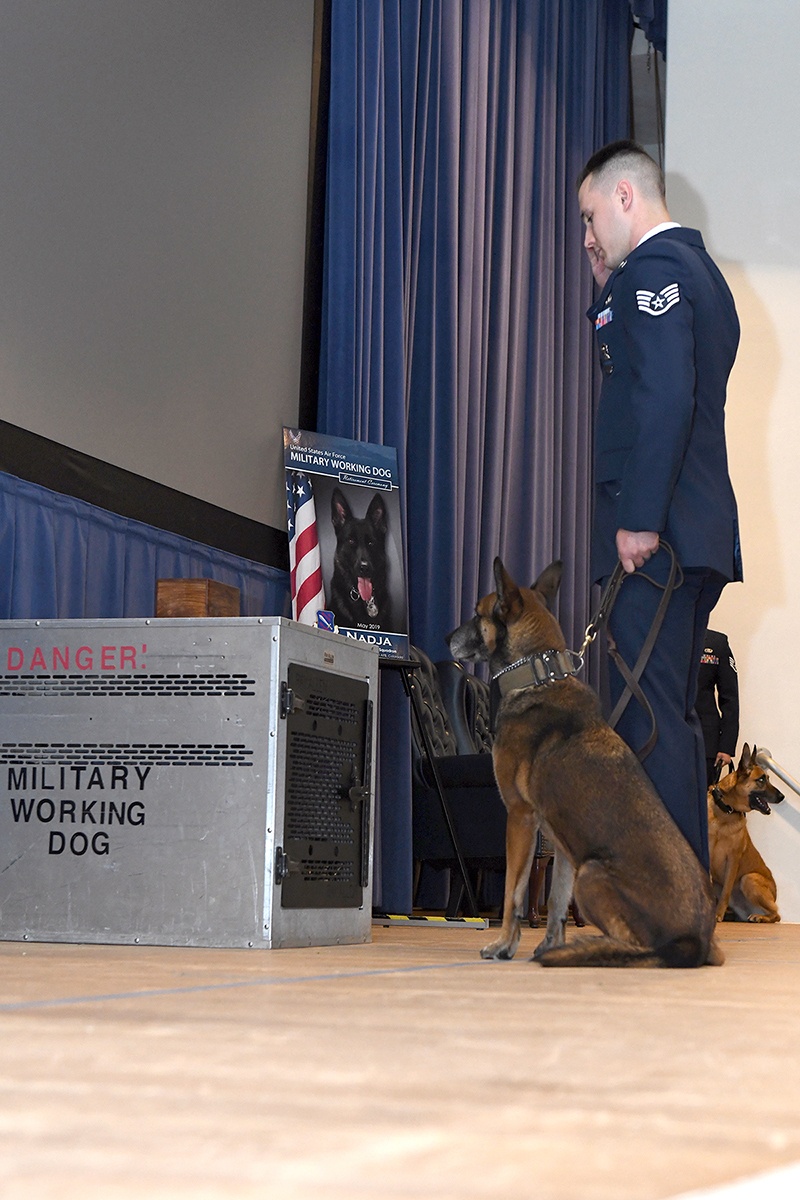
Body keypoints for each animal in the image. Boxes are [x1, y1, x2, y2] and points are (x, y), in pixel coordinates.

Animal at [450, 559, 724, 964]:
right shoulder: (562, 844)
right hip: (583, 867)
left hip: (591, 874)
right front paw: (549, 941)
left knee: (639, 949)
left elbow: (513, 894)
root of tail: (695, 942)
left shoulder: (520, 817)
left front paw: (504, 944)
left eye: (476, 614)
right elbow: (555, 900)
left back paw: (588, 950)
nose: (447, 638)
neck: (539, 677)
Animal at [705, 739, 782, 926]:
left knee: (777, 915)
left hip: (748, 879)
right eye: (761, 779)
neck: (724, 812)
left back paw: (760, 917)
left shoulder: (733, 859)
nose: (782, 797)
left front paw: (717, 915)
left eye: (768, 778)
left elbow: (725, 891)